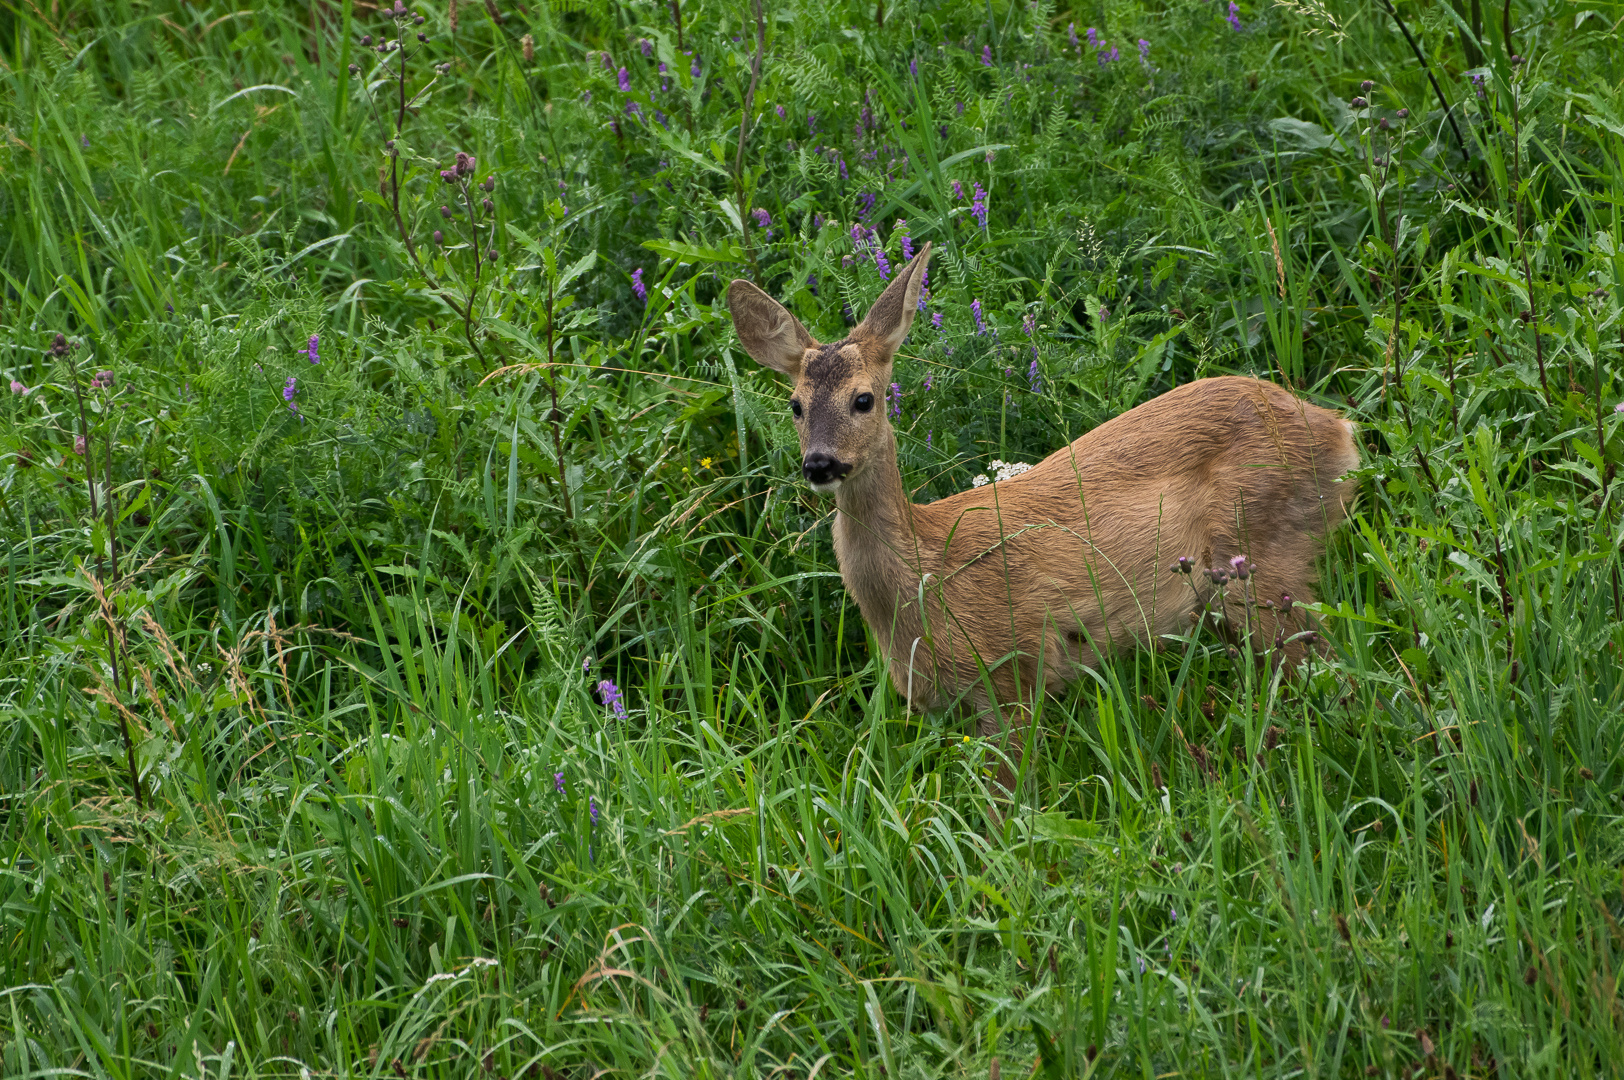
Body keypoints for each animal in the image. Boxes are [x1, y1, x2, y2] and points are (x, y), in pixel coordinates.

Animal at [727, 240, 1357, 789]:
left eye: (864, 398)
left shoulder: (1012, 667)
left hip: (1263, 552)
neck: (927, 573)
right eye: (795, 406)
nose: (820, 463)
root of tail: (1341, 433)